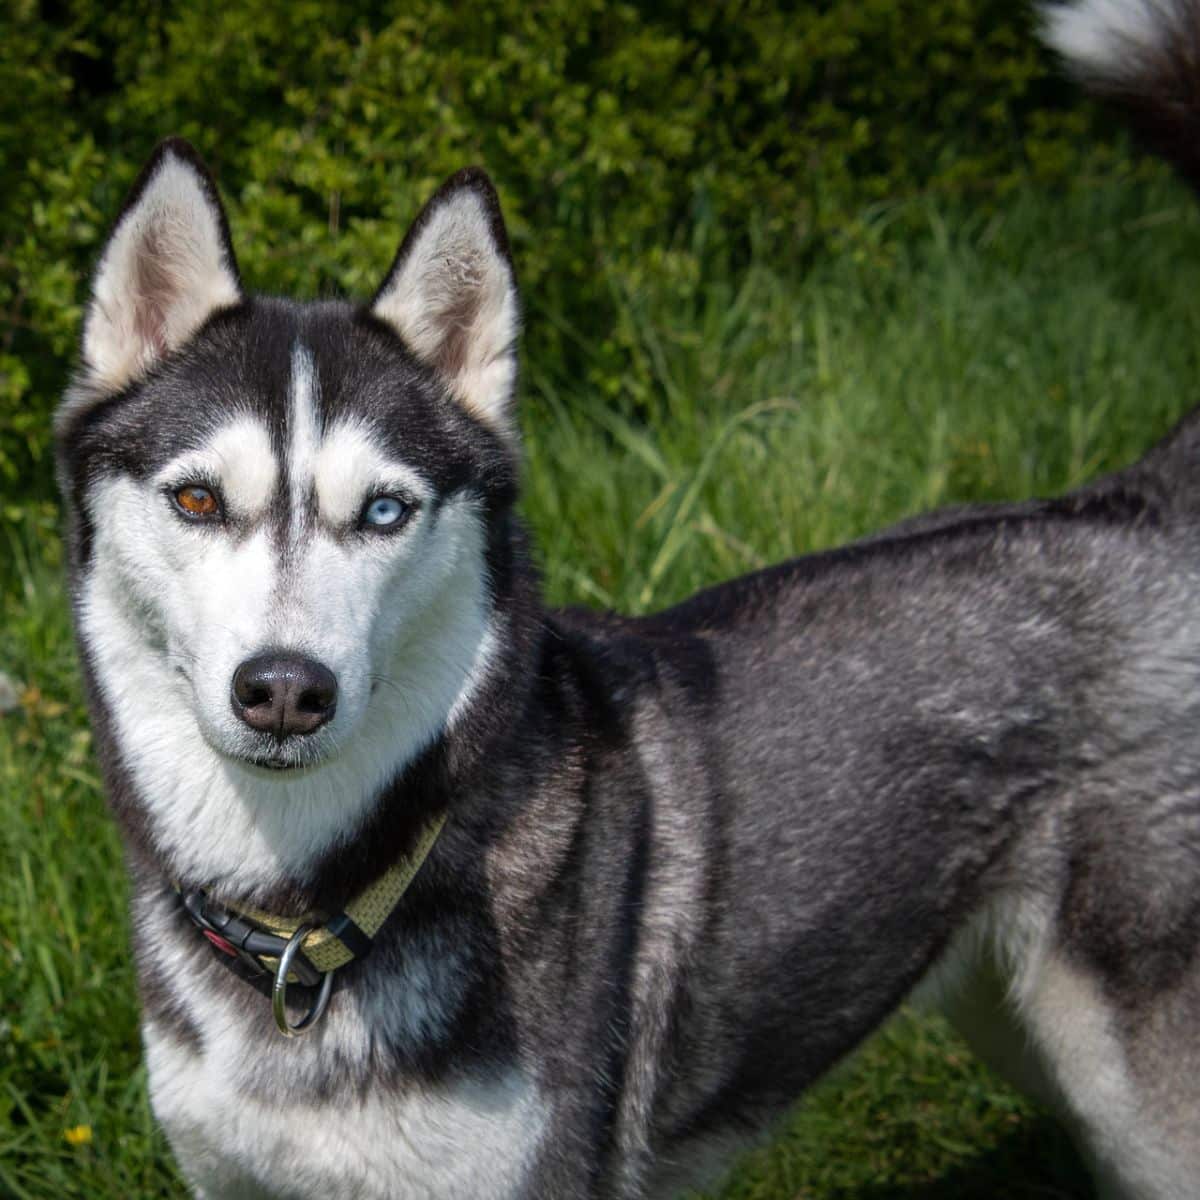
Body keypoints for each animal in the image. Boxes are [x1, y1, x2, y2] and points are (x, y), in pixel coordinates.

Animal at [54, 2, 1200, 1200]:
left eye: (383, 510)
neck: (309, 921)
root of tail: (1131, 503)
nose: (285, 690)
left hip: (1133, 1087)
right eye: (197, 498)